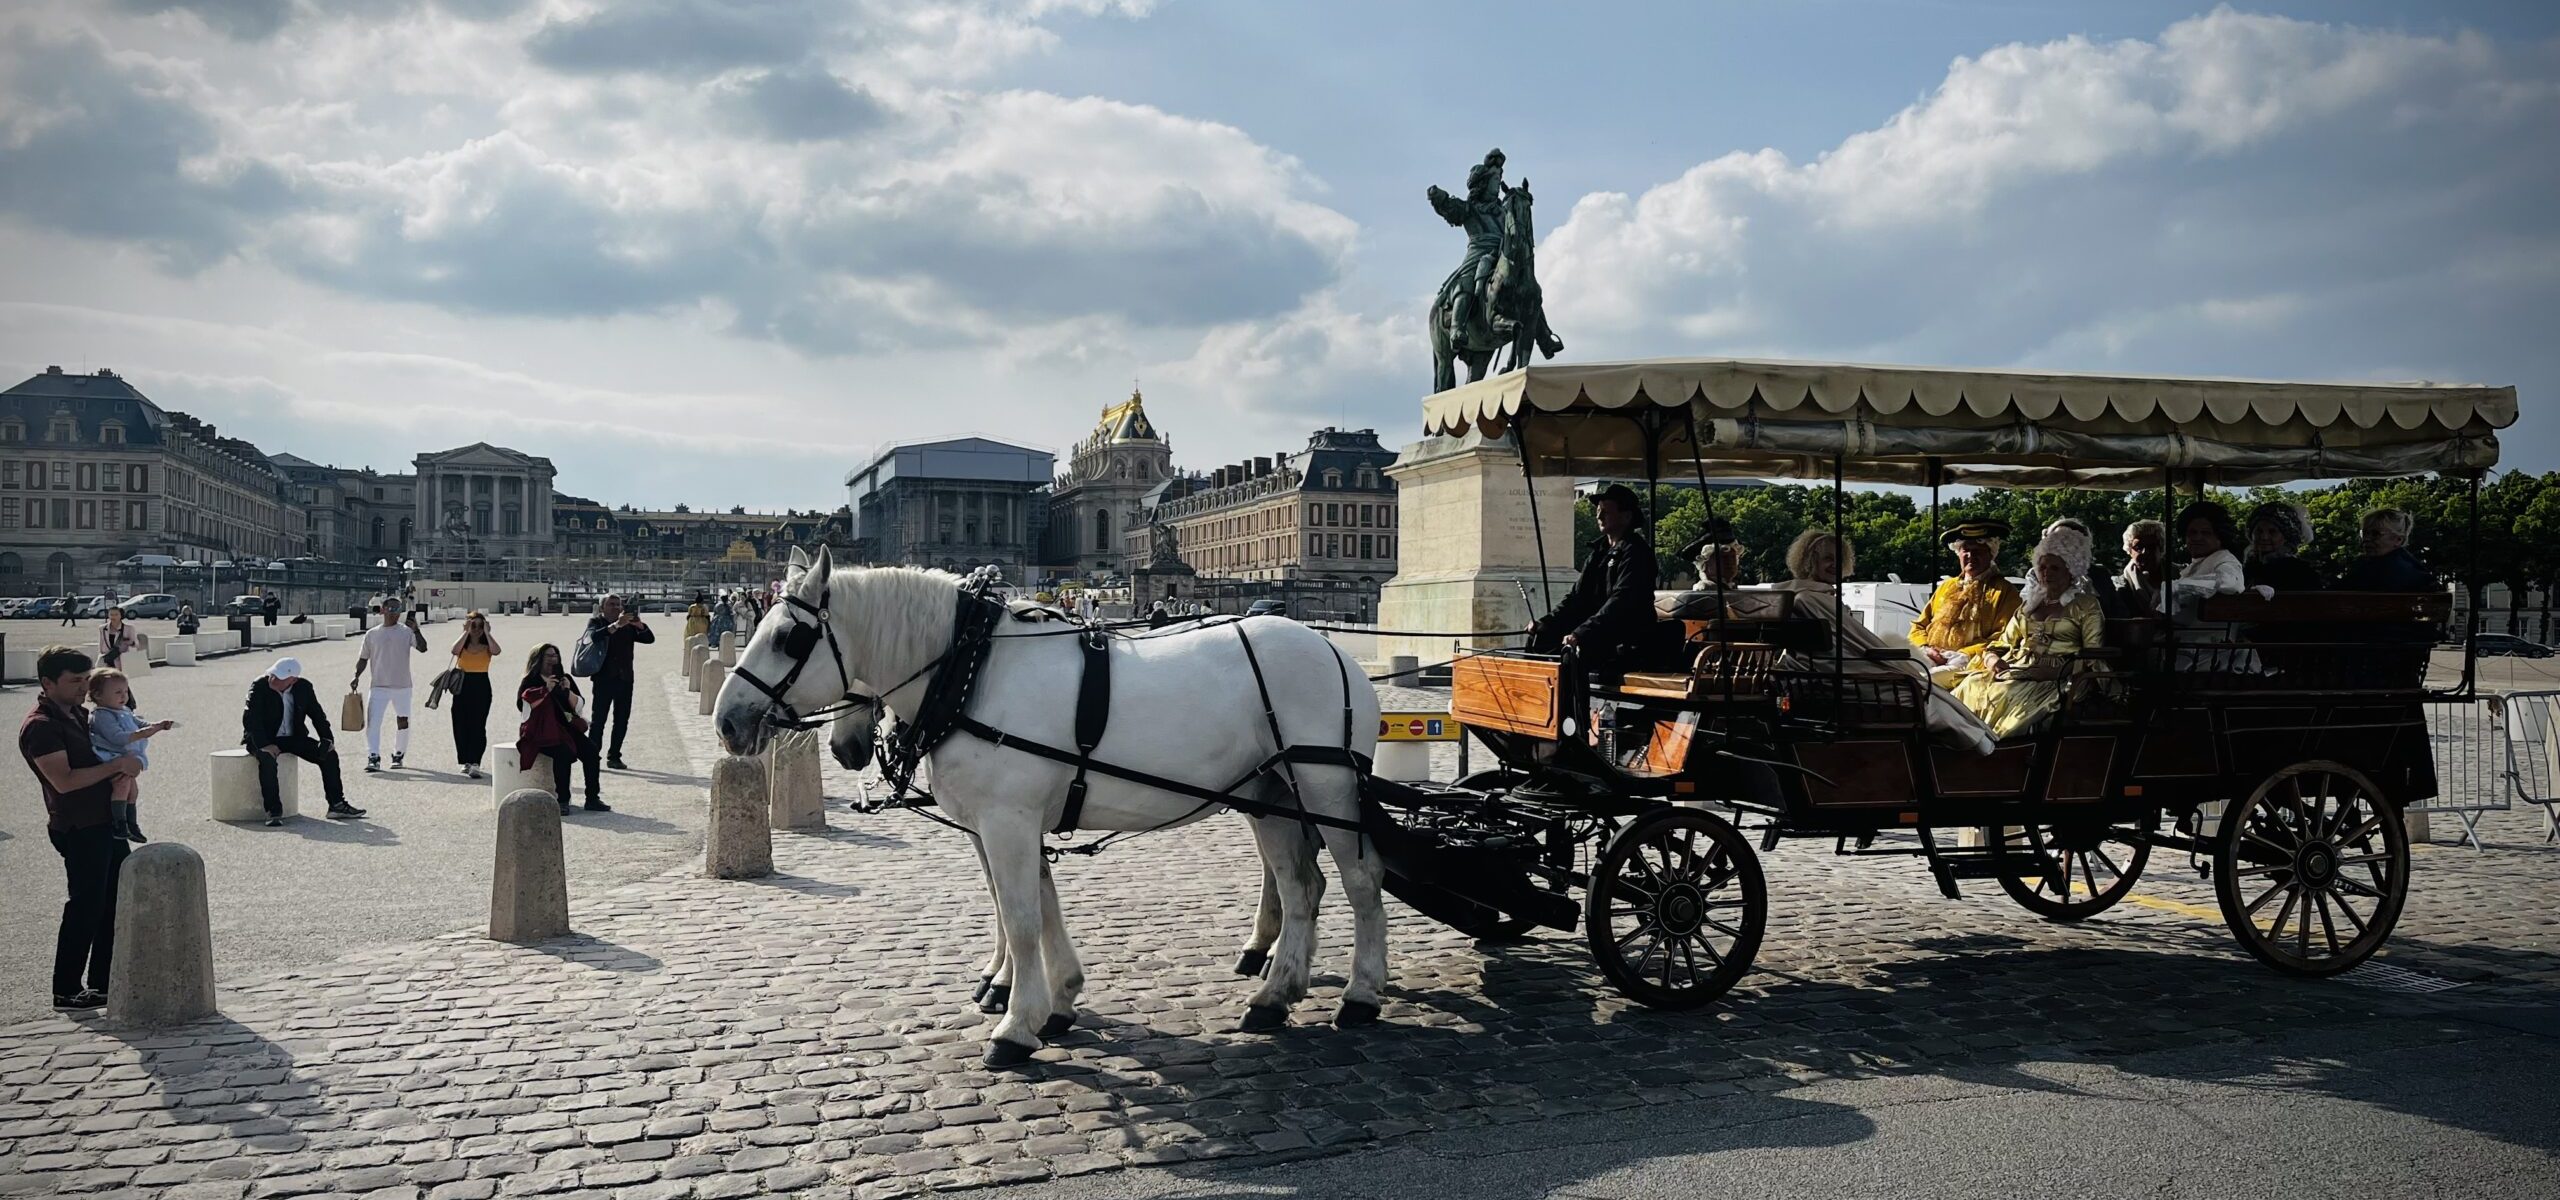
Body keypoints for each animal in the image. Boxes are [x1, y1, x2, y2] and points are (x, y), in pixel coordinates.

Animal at [721, 547, 1392, 1059]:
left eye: (790, 637)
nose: (728, 722)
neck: (971, 672)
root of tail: (1334, 649)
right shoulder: (1002, 825)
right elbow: (1030, 907)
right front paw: (1056, 997)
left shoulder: (1008, 822)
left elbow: (1020, 916)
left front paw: (1016, 1024)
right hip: (1271, 797)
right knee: (1302, 886)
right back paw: (1275, 996)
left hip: (1327, 789)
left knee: (1360, 880)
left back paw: (1360, 994)